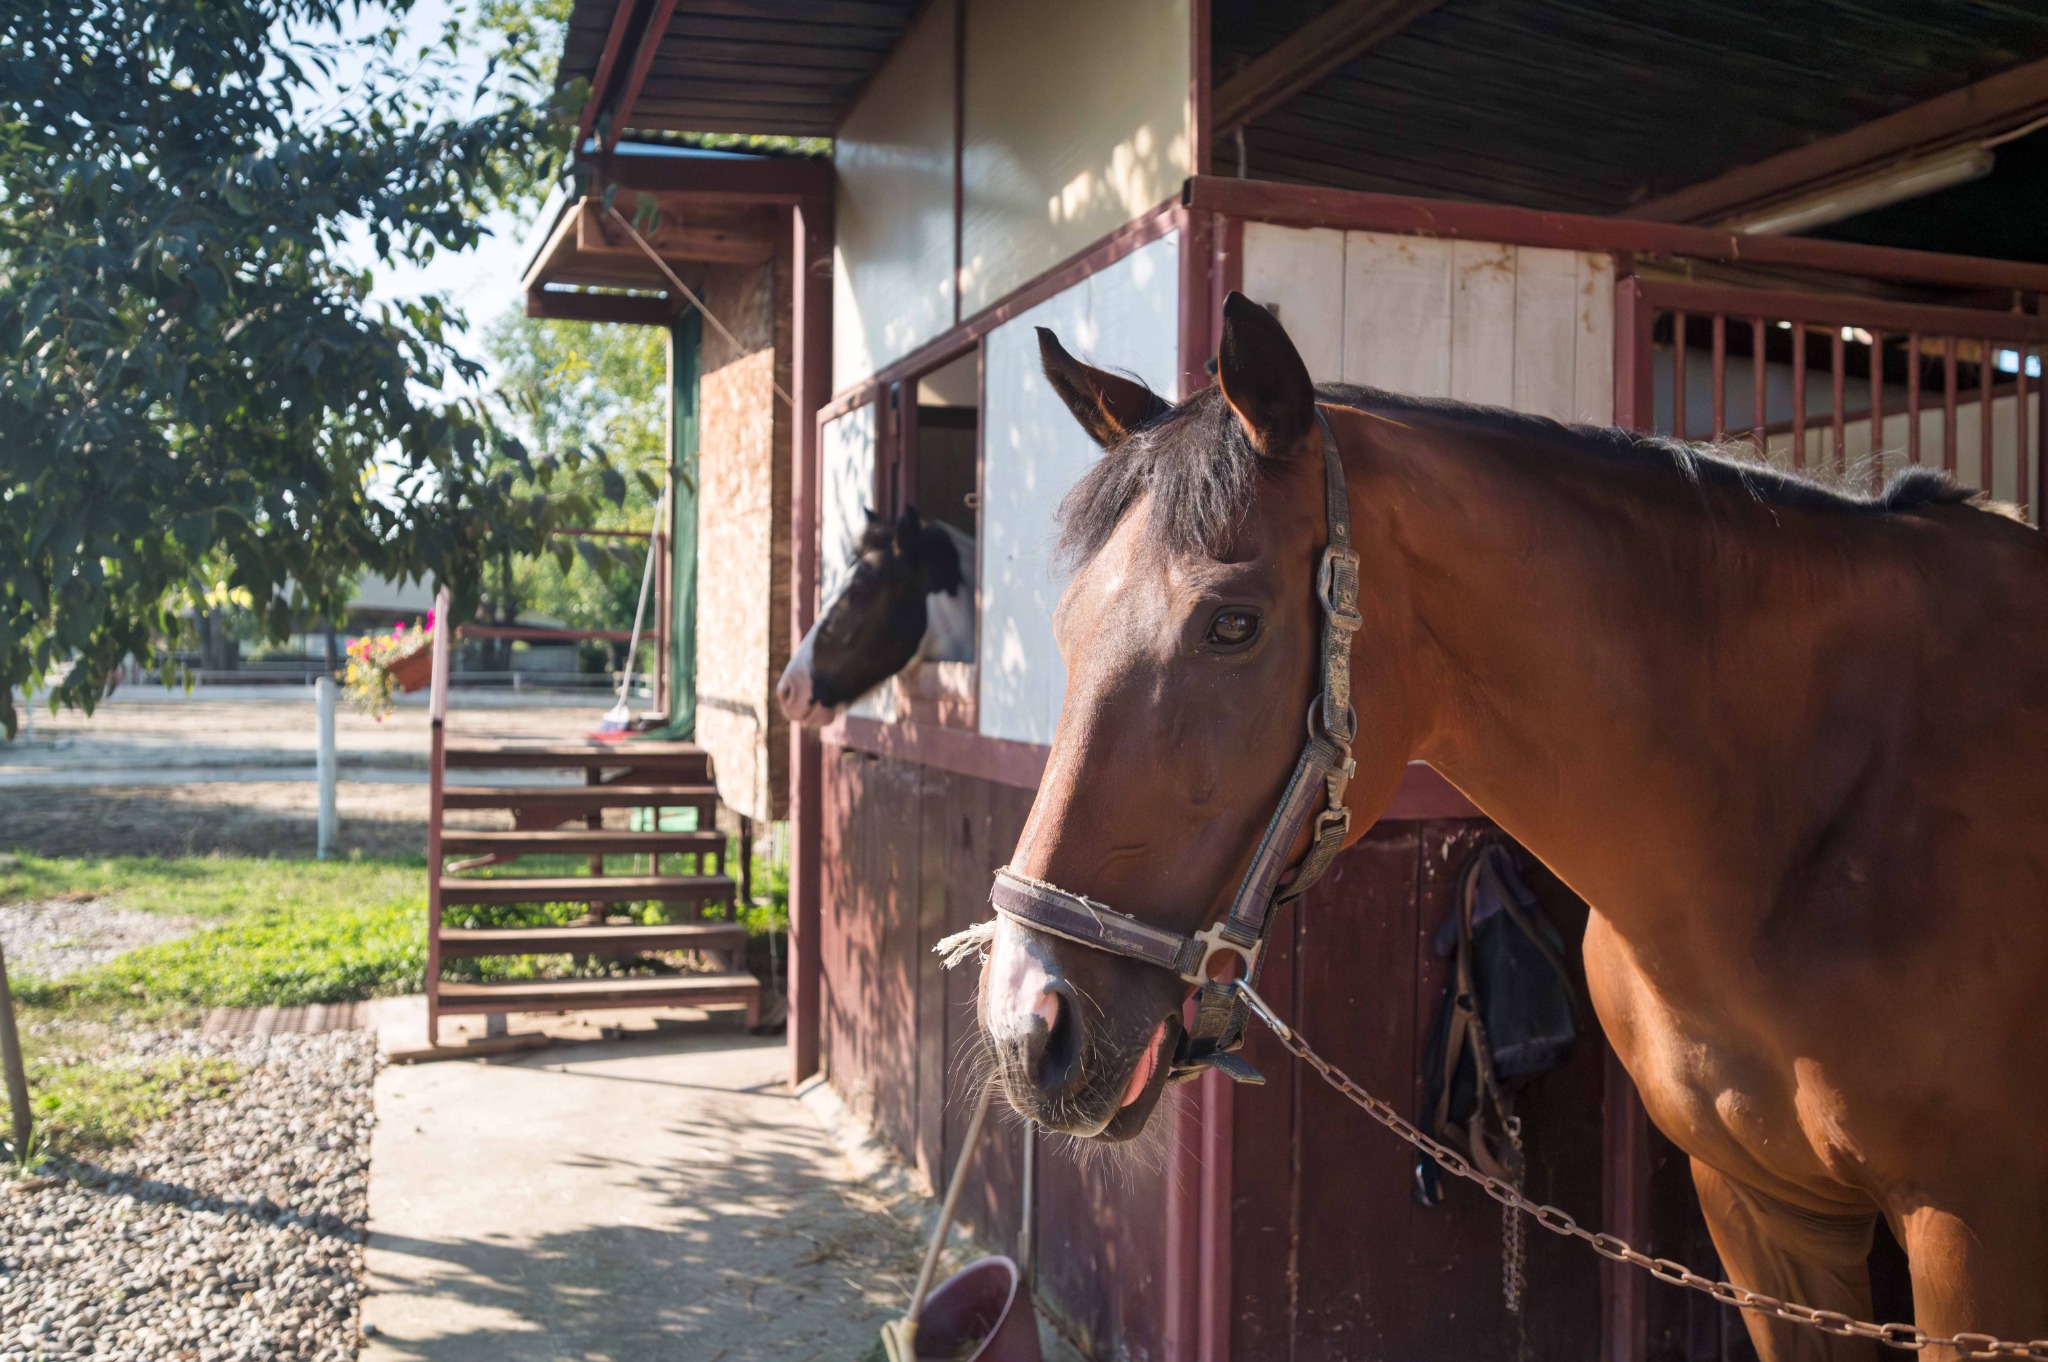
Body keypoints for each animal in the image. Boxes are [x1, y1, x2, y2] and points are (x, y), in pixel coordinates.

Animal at [975, 293, 2048, 1361]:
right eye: (1065, 625)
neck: (1796, 816)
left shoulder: (1973, 1243)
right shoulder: (1761, 1216)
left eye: (1231, 624)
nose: (1028, 1025)